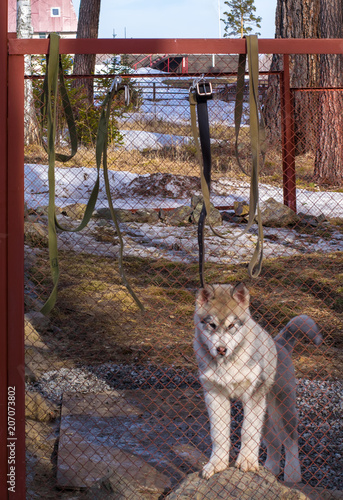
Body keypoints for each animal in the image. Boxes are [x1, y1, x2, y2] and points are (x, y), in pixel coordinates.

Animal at [195, 284, 324, 482]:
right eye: (212, 325)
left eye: (232, 325)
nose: (221, 349)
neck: (227, 363)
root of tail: (279, 342)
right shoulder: (215, 395)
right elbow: (219, 433)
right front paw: (217, 464)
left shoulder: (254, 394)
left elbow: (247, 431)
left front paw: (246, 462)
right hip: (266, 413)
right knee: (274, 441)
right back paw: (270, 469)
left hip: (281, 407)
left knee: (290, 440)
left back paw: (292, 475)